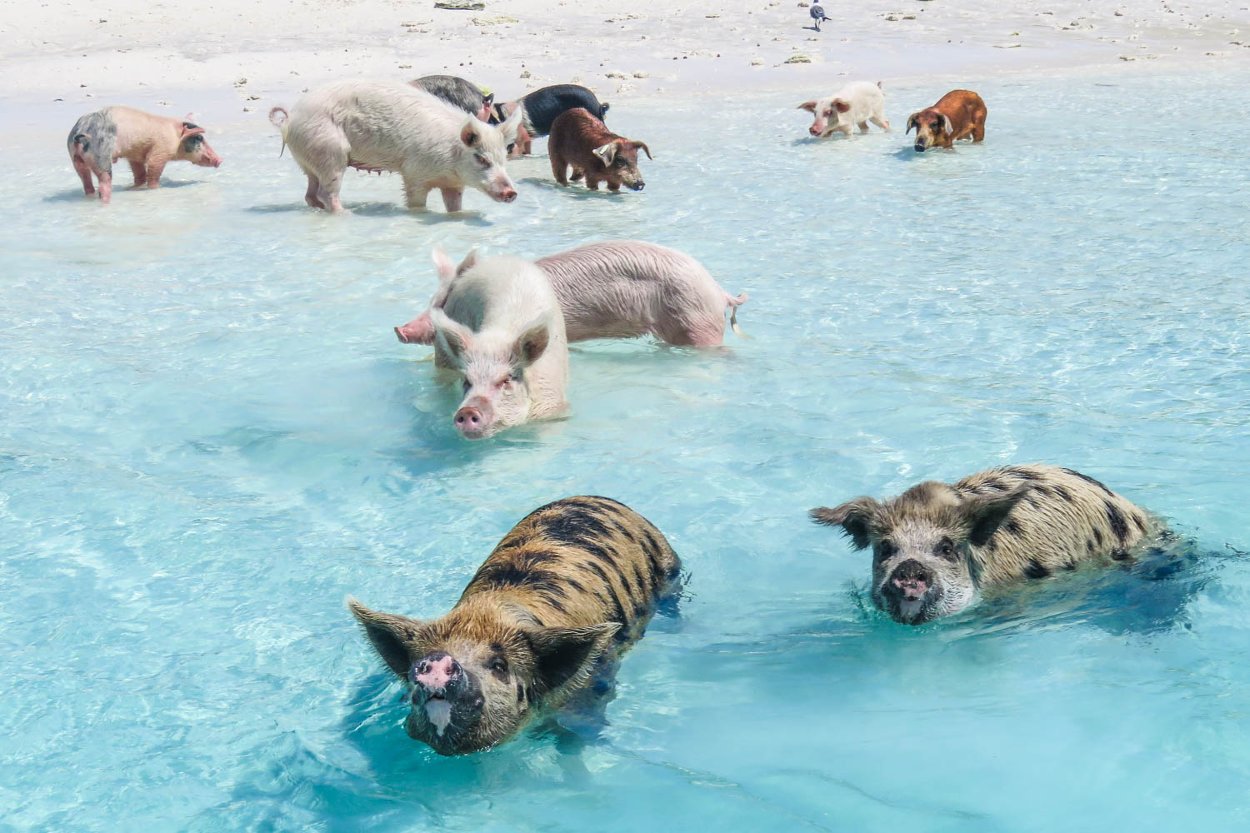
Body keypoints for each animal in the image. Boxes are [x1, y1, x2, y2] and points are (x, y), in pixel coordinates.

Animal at [66, 104, 222, 201]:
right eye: (199, 138)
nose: (220, 160)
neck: (174, 136)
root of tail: (82, 131)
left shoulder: (135, 155)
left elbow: (140, 174)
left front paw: (134, 188)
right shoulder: (160, 151)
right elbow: (153, 173)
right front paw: (156, 189)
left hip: (75, 158)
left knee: (86, 180)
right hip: (101, 154)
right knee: (104, 181)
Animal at [347, 492, 685, 750]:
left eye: (499, 665)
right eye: (423, 656)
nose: (440, 660)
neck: (490, 612)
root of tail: (599, 497)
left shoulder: (599, 675)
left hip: (670, 572)